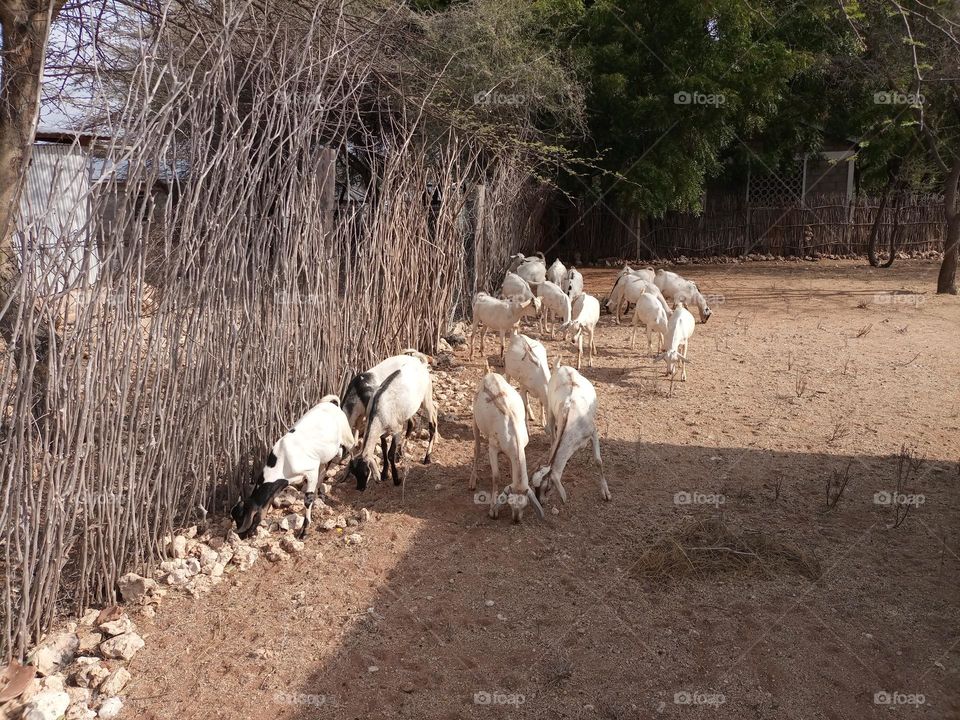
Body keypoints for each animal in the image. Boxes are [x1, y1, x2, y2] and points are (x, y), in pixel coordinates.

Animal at [232, 395, 354, 539]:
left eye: (241, 518)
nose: (241, 536)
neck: (283, 461)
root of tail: (331, 403)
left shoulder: (311, 471)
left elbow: (307, 499)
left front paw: (304, 531)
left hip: (347, 437)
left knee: (354, 449)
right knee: (326, 466)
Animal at [469, 372, 544, 522]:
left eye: (525, 505)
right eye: (509, 503)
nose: (516, 520)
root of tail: (491, 374)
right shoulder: (492, 448)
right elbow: (496, 476)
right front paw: (493, 510)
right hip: (475, 417)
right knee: (477, 449)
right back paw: (473, 481)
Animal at [531, 364, 610, 505]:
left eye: (547, 488)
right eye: (535, 488)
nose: (541, 502)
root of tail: (562, 367)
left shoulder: (593, 432)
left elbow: (598, 461)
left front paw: (605, 492)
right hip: (550, 410)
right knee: (553, 436)